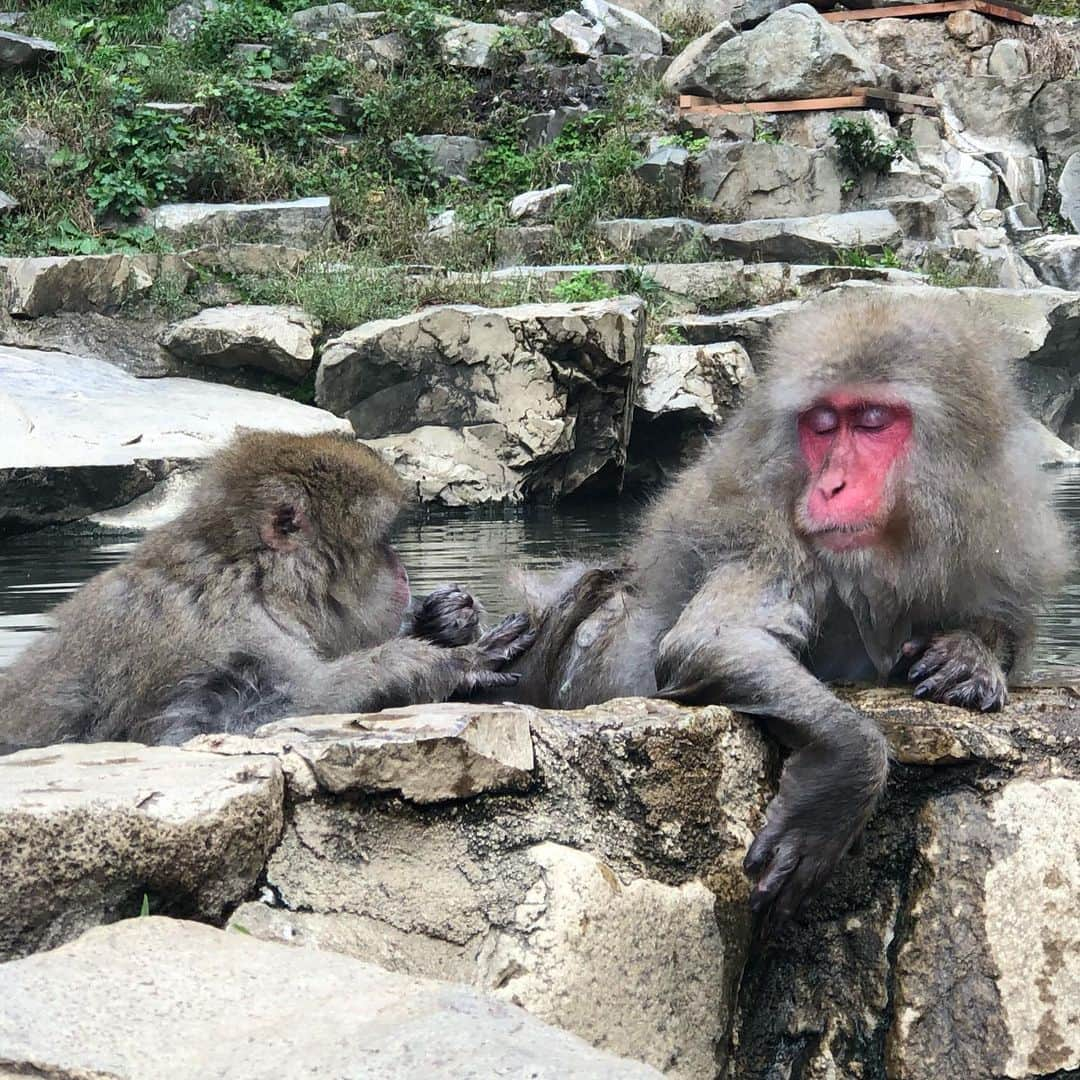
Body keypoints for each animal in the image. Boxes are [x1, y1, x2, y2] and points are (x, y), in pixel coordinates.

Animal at [0, 429, 535, 751]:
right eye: (382, 540)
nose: (402, 571)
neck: (254, 580)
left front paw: (442, 619)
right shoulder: (239, 638)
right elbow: (216, 728)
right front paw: (451, 662)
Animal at [507, 291, 1071, 933]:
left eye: (872, 421)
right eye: (822, 426)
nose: (831, 486)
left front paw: (970, 654)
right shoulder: (764, 530)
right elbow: (709, 640)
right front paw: (842, 773)